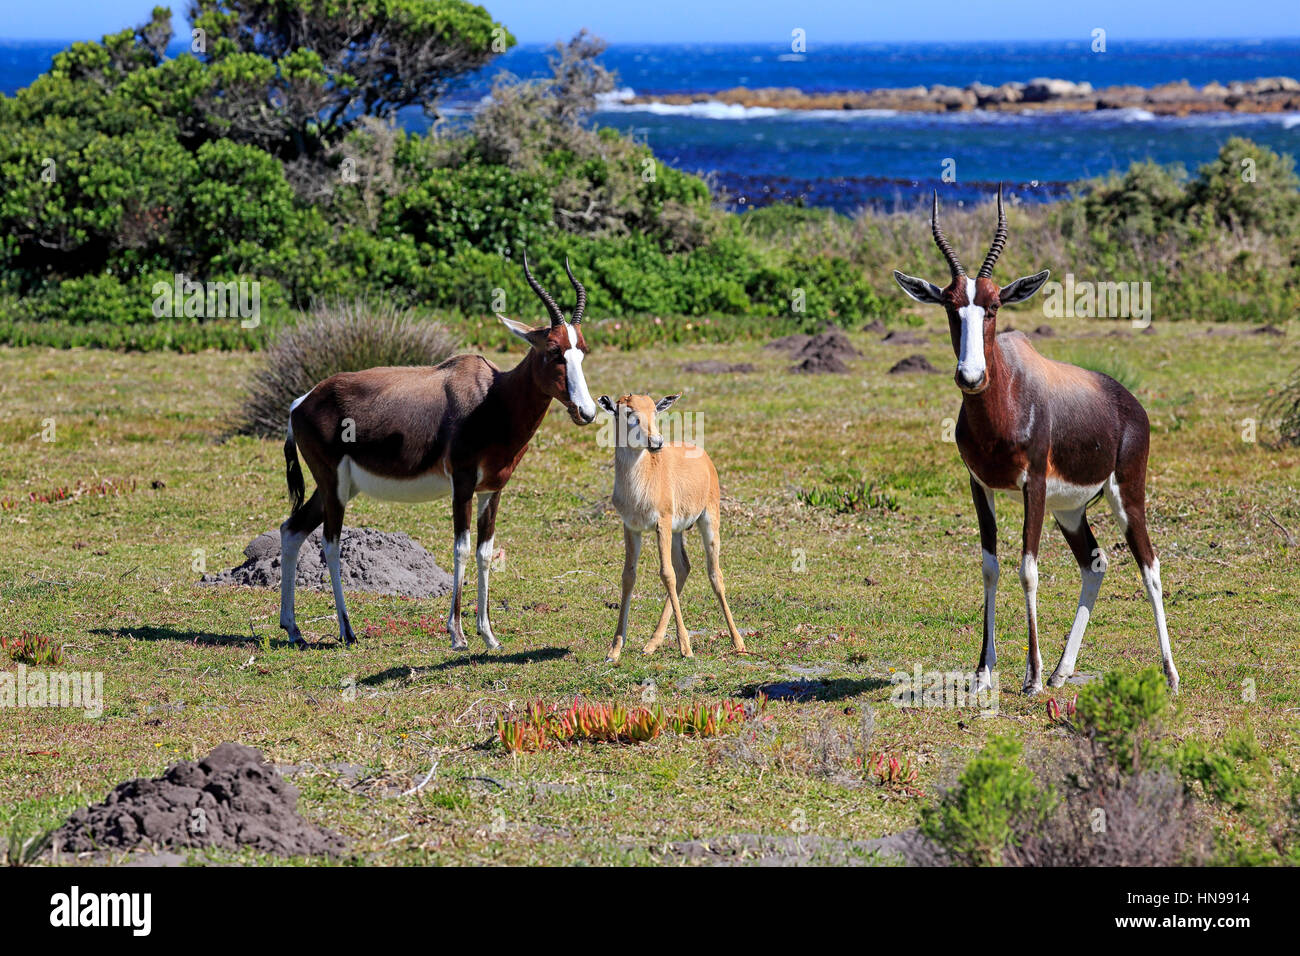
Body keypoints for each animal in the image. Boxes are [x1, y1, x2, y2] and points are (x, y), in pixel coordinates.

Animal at [279, 256, 598, 650]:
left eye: (581, 350)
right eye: (553, 351)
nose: (587, 411)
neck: (492, 396)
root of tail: (301, 402)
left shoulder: (492, 490)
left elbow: (485, 552)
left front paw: (489, 636)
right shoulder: (461, 482)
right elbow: (461, 548)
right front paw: (457, 635)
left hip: (337, 489)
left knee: (292, 529)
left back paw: (293, 629)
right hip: (333, 486)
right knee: (330, 542)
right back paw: (346, 630)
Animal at [595, 392, 748, 660]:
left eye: (655, 411)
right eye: (628, 413)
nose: (656, 442)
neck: (640, 485)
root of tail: (703, 456)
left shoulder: (662, 523)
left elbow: (666, 574)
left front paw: (686, 648)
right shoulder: (631, 527)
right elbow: (629, 576)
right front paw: (614, 650)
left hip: (709, 520)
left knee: (714, 573)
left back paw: (738, 642)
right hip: (677, 532)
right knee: (684, 567)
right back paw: (651, 644)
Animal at [894, 187, 1180, 697]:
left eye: (993, 306)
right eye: (950, 305)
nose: (970, 376)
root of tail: (1130, 404)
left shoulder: (1035, 487)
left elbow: (1028, 570)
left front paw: (1030, 676)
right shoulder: (980, 487)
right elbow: (990, 566)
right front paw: (983, 674)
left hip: (1126, 495)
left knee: (1150, 566)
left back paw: (1169, 675)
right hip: (1071, 509)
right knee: (1095, 564)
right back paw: (1063, 671)